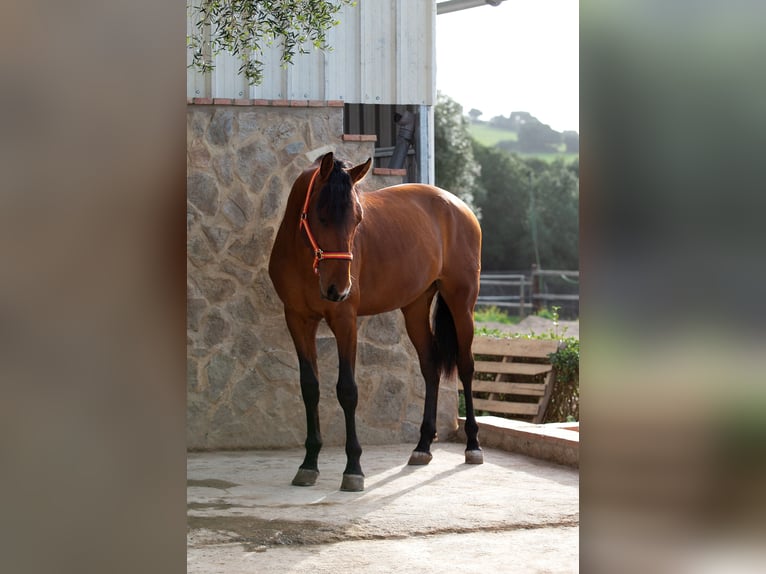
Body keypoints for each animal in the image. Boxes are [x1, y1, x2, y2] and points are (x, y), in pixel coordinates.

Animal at [270, 151, 484, 492]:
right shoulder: (297, 320)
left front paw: (353, 469)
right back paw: (423, 446)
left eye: (357, 220)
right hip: (415, 308)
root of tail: (458, 206)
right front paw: (309, 464)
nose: (338, 289)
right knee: (430, 367)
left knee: (465, 366)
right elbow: (310, 388)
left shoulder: (345, 320)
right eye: (321, 215)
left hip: (461, 304)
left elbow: (347, 390)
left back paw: (473, 445)